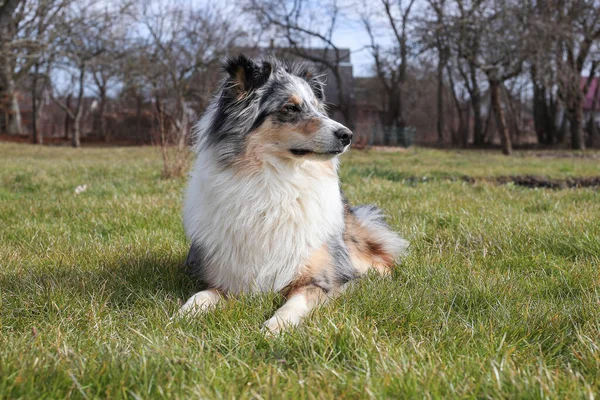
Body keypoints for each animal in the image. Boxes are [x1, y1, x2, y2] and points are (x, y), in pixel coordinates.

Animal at [178, 54, 408, 332]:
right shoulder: (227, 279)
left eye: (318, 108)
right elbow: (200, 296)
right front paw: (182, 316)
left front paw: (273, 329)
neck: (278, 185)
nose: (348, 135)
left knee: (383, 263)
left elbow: (293, 304)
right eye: (290, 108)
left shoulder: (319, 279)